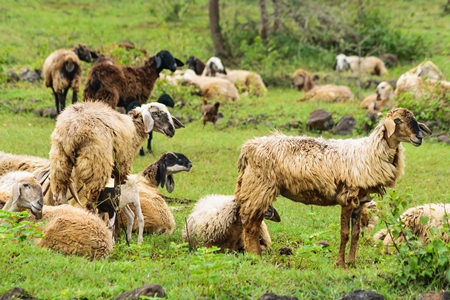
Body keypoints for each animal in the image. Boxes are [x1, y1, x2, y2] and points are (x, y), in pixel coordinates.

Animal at [234, 108, 430, 268]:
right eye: (397, 120)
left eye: (414, 119)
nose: (419, 137)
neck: (369, 153)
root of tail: (247, 147)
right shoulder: (347, 198)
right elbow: (344, 233)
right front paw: (340, 264)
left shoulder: (360, 202)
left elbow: (356, 233)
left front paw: (352, 262)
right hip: (259, 187)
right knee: (250, 224)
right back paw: (255, 257)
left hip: (258, 189)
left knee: (253, 222)